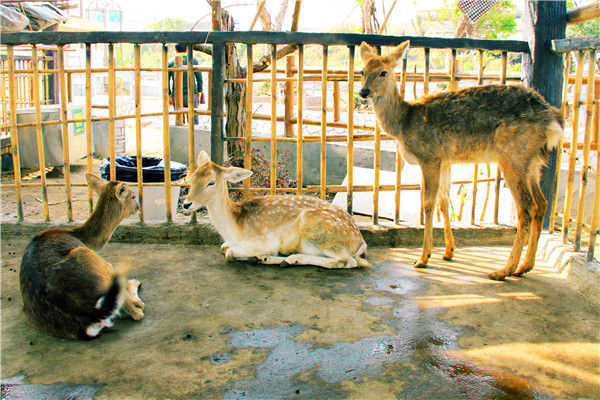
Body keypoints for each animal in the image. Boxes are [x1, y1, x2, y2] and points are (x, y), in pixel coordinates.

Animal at [19, 173, 144, 340]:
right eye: (133, 196)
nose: (138, 207)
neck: (83, 238)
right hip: (92, 259)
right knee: (136, 312)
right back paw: (135, 291)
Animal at [183, 150, 370, 268]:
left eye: (211, 182)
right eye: (192, 178)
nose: (186, 204)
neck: (234, 228)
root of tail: (360, 241)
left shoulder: (263, 241)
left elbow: (229, 252)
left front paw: (255, 256)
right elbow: (223, 247)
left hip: (317, 228)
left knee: (347, 261)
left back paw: (284, 259)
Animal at [358, 39, 564, 278]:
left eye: (383, 72)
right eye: (362, 71)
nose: (363, 92)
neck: (404, 123)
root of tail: (552, 120)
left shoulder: (429, 157)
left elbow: (428, 203)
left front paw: (423, 257)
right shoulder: (445, 160)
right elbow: (444, 202)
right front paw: (448, 251)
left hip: (513, 155)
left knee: (526, 207)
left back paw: (504, 270)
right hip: (533, 161)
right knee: (542, 203)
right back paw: (525, 266)